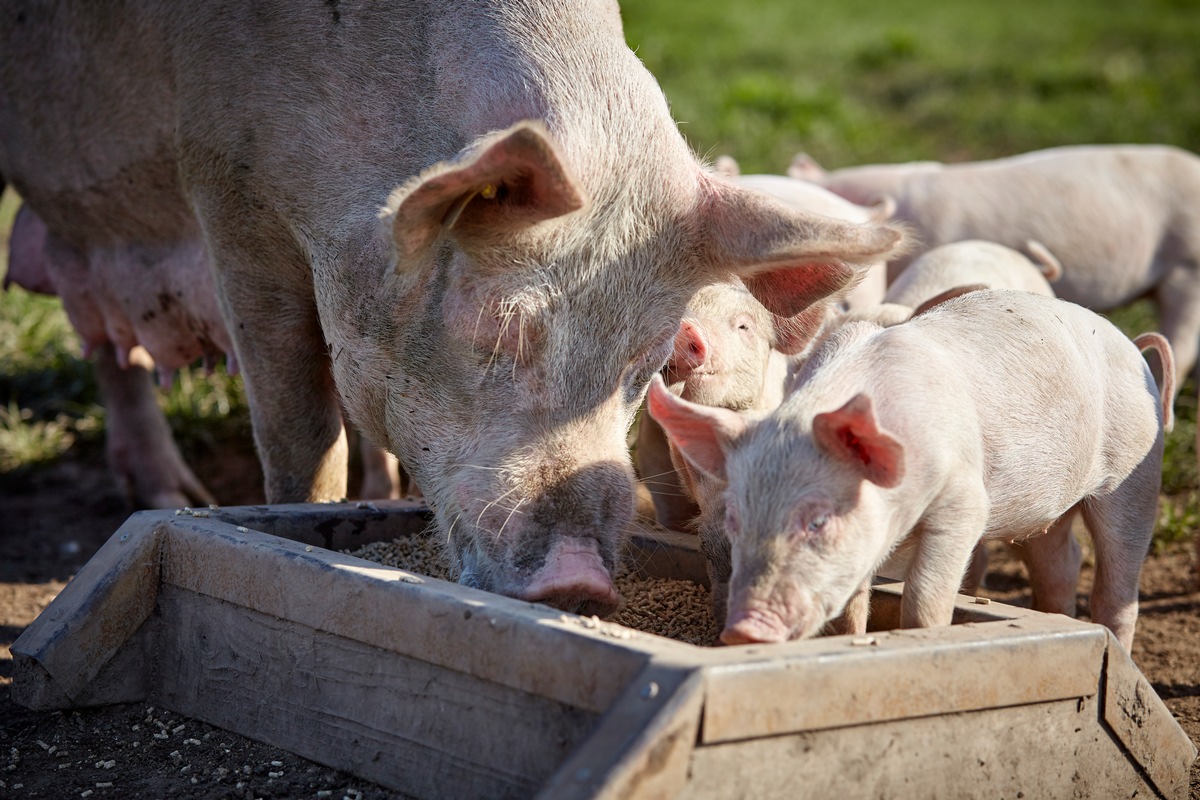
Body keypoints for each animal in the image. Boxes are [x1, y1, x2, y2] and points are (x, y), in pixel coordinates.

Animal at [2, 0, 902, 614]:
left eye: (646, 362)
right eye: (501, 324)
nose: (579, 582)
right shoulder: (228, 190)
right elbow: (301, 428)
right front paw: (295, 517)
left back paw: (162, 493)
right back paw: (171, 500)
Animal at [652, 291, 1176, 647]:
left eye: (818, 521)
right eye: (736, 522)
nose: (744, 630)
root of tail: (1130, 343)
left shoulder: (963, 502)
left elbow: (925, 597)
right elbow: (850, 606)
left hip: (1136, 474)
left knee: (1117, 588)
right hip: (1049, 505)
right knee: (1060, 561)